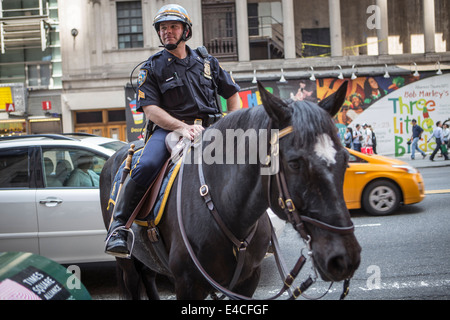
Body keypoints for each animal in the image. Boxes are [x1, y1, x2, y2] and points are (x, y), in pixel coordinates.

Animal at [100, 80, 360, 300]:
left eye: (346, 159)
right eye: (295, 163)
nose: (344, 259)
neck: (225, 208)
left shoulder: (247, 281)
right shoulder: (187, 284)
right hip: (128, 264)